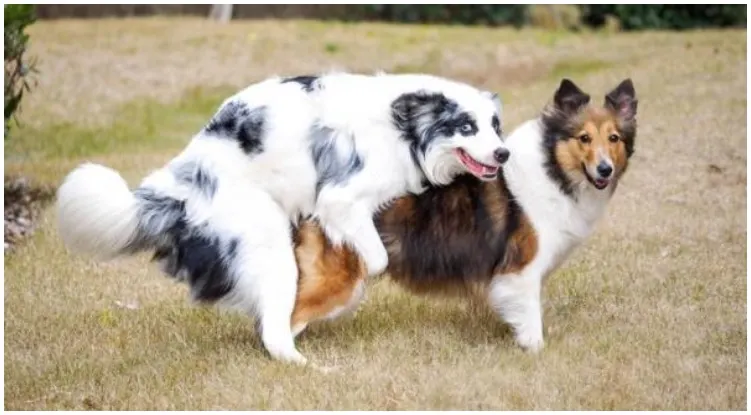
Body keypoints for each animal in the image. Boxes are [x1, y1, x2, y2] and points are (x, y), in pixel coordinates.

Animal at [290, 77, 636, 352]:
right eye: (584, 138)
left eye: (614, 138)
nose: (604, 169)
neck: (552, 168)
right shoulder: (521, 270)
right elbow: (531, 318)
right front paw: (535, 351)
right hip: (339, 281)